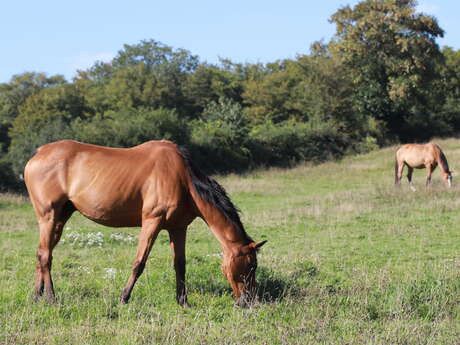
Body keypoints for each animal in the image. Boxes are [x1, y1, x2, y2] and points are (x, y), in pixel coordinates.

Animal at [24, 139, 266, 306]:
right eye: (251, 265)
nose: (249, 301)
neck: (183, 179)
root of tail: (38, 154)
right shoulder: (152, 221)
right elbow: (139, 262)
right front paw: (124, 297)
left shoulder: (178, 228)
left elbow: (180, 264)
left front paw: (183, 301)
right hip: (48, 216)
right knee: (45, 255)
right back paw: (50, 297)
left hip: (60, 219)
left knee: (42, 252)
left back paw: (36, 296)